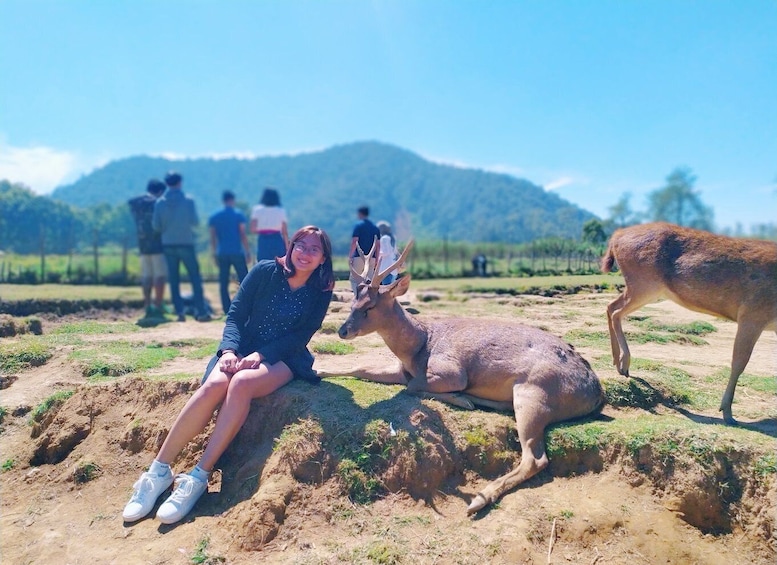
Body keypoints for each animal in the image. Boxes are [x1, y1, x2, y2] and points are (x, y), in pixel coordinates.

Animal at [318, 240, 604, 512]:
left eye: (370, 307)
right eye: (353, 303)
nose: (342, 331)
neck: (419, 346)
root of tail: (596, 393)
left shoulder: (452, 371)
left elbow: (413, 386)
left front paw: (461, 398)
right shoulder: (401, 368)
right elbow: (363, 369)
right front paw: (319, 370)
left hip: (535, 392)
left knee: (535, 458)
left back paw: (479, 499)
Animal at [600, 220, 776, 424]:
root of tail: (616, 237)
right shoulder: (753, 313)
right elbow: (739, 362)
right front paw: (727, 412)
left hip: (645, 288)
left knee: (611, 306)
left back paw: (617, 361)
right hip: (644, 283)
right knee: (615, 311)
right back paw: (624, 363)